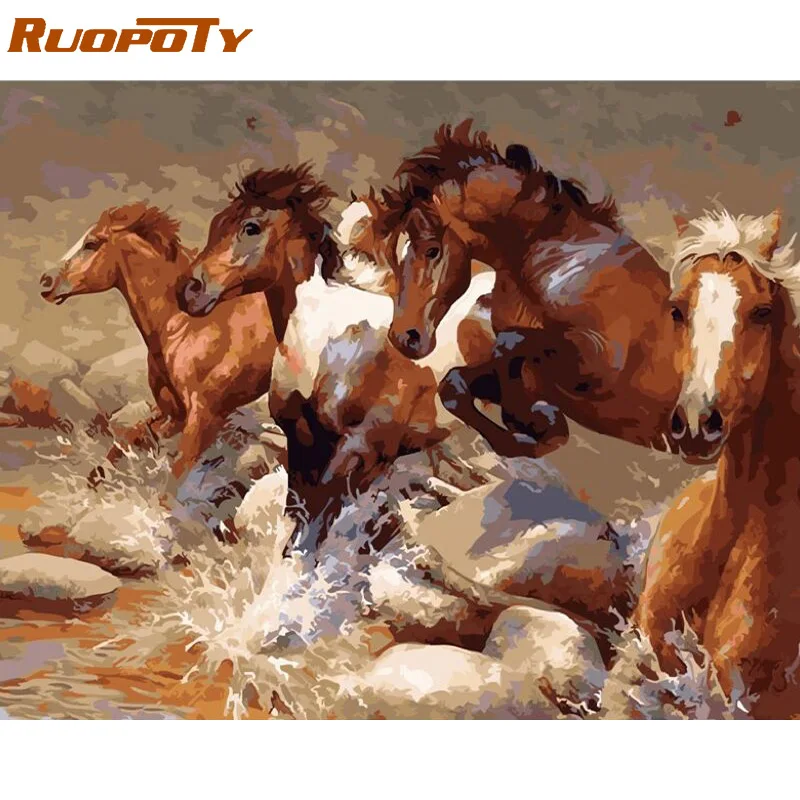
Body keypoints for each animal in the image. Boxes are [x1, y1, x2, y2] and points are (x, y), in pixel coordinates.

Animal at [39, 203, 277, 480]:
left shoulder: (203, 419)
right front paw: (98, 476)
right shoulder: (172, 412)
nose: (45, 281)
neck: (184, 325)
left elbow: (175, 476)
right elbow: (132, 437)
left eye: (91, 243)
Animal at [180, 164, 497, 542]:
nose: (189, 290)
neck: (327, 340)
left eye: (250, 227)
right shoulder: (303, 446)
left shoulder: (358, 454)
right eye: (217, 223)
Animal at [374, 120, 683, 461]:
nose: (404, 338)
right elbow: (455, 384)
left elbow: (511, 345)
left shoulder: (597, 367)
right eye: (393, 255)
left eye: (432, 250)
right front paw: (529, 417)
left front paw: (531, 418)